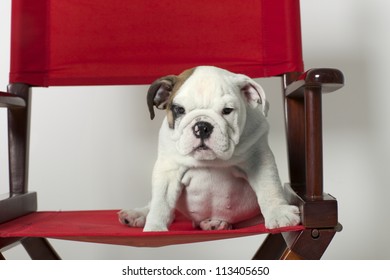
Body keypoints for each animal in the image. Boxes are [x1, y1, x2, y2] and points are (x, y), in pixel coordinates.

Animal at [117, 66, 300, 232]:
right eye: (179, 110)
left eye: (227, 110)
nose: (202, 126)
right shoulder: (168, 170)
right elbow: (161, 202)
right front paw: (155, 227)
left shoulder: (259, 160)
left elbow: (269, 187)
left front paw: (279, 214)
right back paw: (138, 214)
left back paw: (216, 223)